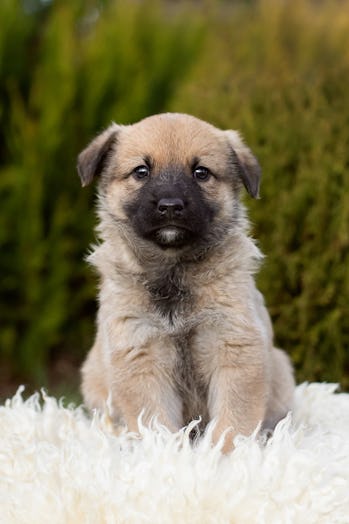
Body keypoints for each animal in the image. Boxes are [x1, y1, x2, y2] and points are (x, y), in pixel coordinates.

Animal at [77, 112, 294, 452]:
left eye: (201, 172)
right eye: (141, 171)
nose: (170, 206)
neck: (173, 272)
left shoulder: (235, 347)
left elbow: (234, 419)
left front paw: (225, 455)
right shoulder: (141, 353)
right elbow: (154, 423)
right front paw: (168, 455)